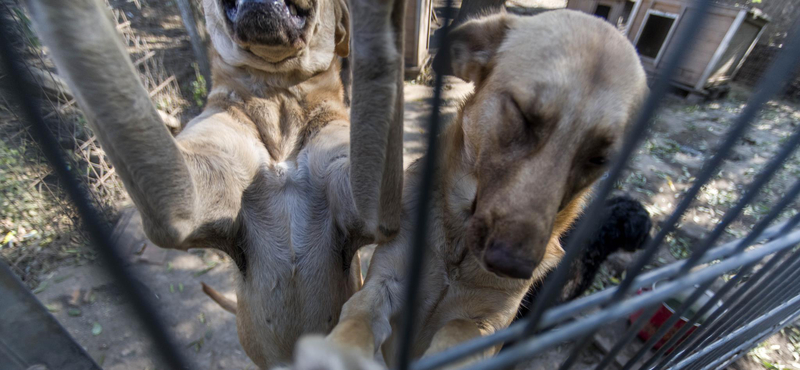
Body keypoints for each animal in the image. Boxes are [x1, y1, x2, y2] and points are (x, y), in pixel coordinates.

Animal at [288, 9, 648, 370]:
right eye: (522, 114)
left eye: (600, 158)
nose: (512, 265)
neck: (457, 251)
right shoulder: (386, 282)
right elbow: (357, 318)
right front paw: (337, 353)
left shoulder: (492, 325)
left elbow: (460, 327)